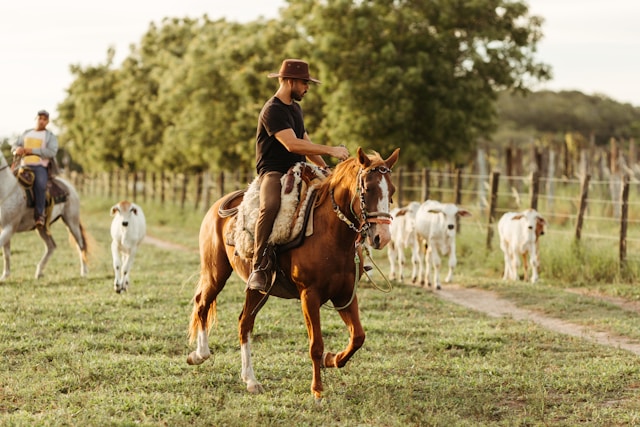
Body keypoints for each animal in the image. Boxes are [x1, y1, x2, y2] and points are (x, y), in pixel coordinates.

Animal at [185, 147, 400, 402]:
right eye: (367, 189)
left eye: (392, 190)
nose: (382, 237)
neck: (331, 234)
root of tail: (217, 206)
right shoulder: (310, 295)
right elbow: (316, 344)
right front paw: (317, 389)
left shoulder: (345, 295)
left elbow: (358, 337)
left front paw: (332, 359)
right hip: (215, 272)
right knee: (202, 304)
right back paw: (200, 355)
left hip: (258, 289)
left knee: (244, 322)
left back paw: (251, 380)